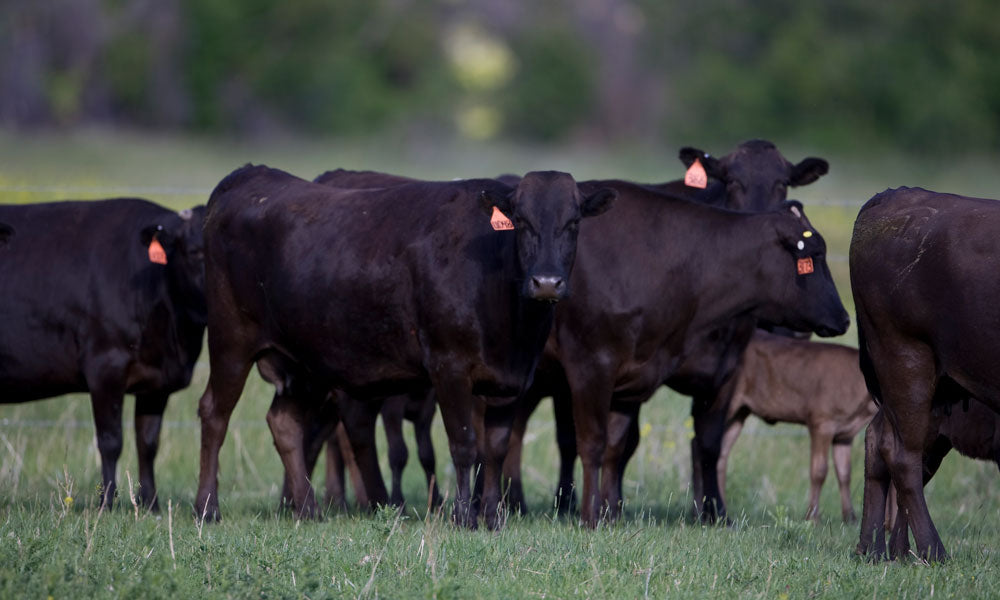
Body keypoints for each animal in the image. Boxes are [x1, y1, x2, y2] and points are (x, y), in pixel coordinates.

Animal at [0, 199, 206, 508]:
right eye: (195, 252)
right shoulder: (105, 366)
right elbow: (111, 441)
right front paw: (106, 502)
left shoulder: (157, 382)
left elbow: (148, 443)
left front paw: (151, 504)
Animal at [194, 164, 612, 524]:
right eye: (521, 222)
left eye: (574, 222)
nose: (546, 282)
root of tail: (250, 175)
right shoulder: (449, 367)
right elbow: (464, 445)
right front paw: (464, 517)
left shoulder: (511, 380)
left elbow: (496, 447)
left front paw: (493, 517)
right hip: (230, 341)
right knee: (214, 413)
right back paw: (208, 508)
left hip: (306, 362)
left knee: (284, 422)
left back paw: (309, 509)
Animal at [852, 188, 1000, 564]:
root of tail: (895, 194)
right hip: (906, 361)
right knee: (902, 455)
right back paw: (933, 550)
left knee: (879, 441)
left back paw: (874, 549)